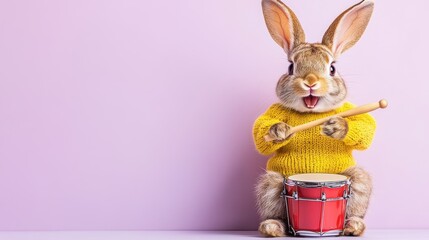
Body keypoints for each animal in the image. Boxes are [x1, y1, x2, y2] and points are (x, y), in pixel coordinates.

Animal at [252, 0, 376, 236]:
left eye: (332, 68)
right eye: (291, 67)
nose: (310, 81)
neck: (311, 113)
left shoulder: (352, 112)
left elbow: (365, 128)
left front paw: (338, 127)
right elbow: (260, 135)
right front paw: (279, 131)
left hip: (358, 181)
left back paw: (353, 226)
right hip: (271, 184)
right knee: (276, 211)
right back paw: (273, 227)